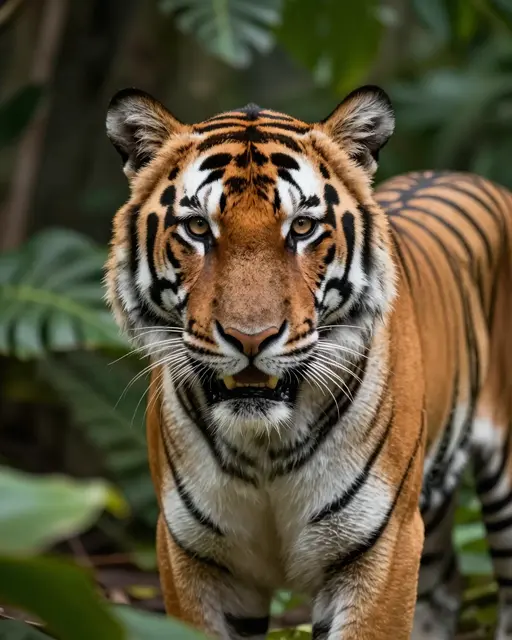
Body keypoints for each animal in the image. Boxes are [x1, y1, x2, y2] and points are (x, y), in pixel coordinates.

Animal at [104, 84, 512, 639]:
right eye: (197, 228)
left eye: (301, 227)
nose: (250, 338)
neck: (263, 449)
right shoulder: (193, 555)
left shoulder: (383, 546)